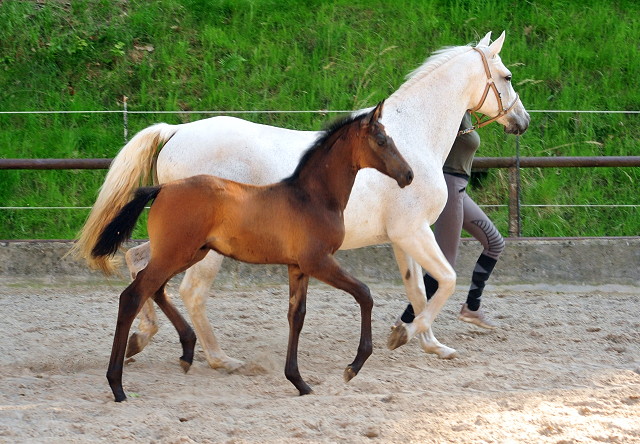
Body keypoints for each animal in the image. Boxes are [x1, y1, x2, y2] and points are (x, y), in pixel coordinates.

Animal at [71, 31, 528, 370]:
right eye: (506, 76)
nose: (522, 122)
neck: (409, 136)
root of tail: (176, 132)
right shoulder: (413, 231)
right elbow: (446, 280)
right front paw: (407, 335)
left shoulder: (402, 237)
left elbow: (417, 289)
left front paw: (429, 344)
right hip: (202, 248)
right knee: (190, 291)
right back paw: (220, 359)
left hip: (178, 240)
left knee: (139, 262)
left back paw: (140, 339)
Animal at [92, 102, 416, 400]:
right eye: (382, 140)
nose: (409, 175)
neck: (313, 197)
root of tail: (162, 189)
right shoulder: (318, 262)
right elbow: (364, 294)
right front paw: (353, 366)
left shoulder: (298, 267)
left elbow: (296, 316)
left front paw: (298, 381)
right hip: (177, 254)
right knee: (133, 296)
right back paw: (117, 384)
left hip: (188, 253)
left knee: (153, 287)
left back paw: (186, 349)